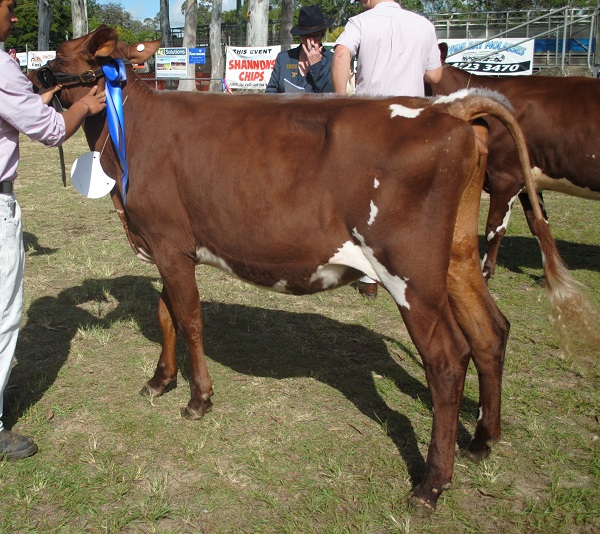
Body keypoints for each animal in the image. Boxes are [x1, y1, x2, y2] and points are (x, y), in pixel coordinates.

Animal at [428, 43, 600, 280]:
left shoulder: (506, 176)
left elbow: (494, 228)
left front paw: (486, 272)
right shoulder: (529, 181)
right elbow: (539, 224)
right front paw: (551, 275)